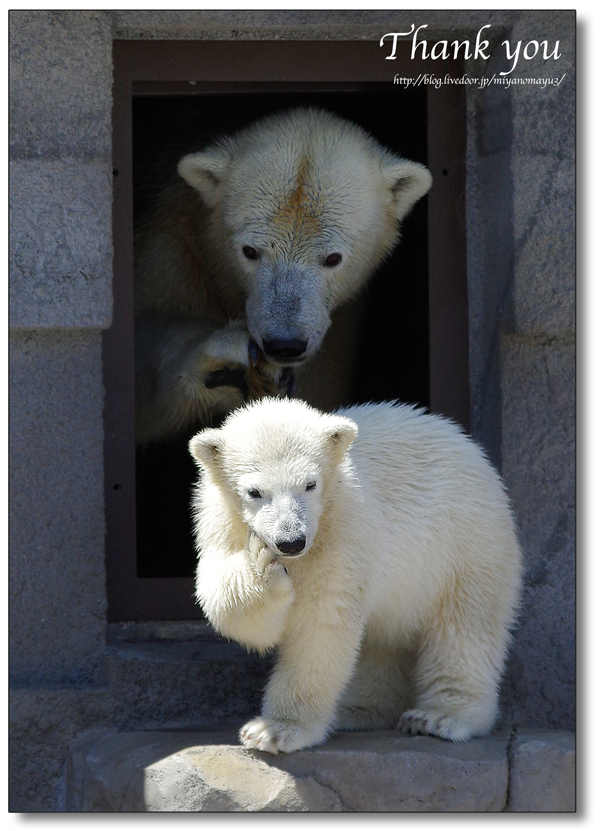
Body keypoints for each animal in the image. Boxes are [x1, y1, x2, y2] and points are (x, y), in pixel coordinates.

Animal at [190, 400, 524, 756]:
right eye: (254, 491)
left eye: (310, 484)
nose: (291, 541)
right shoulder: (220, 523)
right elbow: (230, 605)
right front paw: (262, 565)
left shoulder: (341, 529)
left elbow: (320, 622)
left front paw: (277, 730)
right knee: (382, 639)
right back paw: (359, 709)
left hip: (465, 545)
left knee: (465, 627)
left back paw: (439, 716)